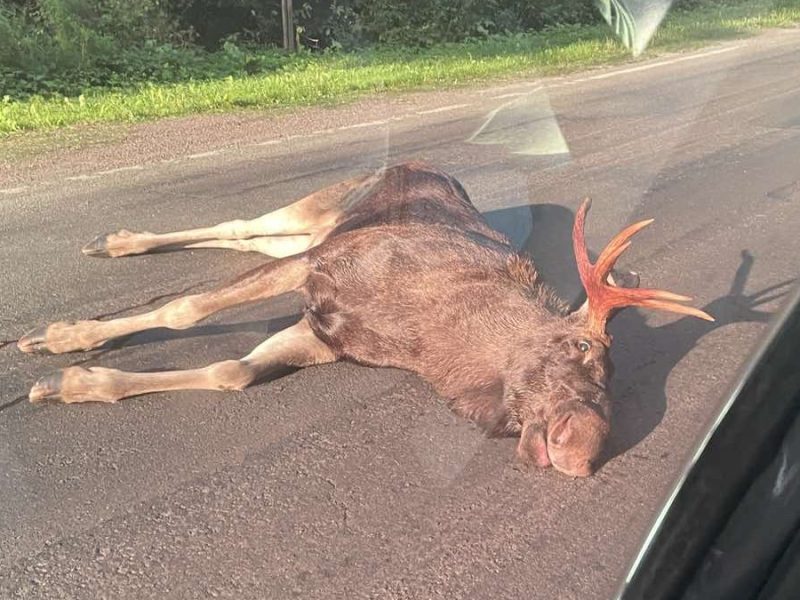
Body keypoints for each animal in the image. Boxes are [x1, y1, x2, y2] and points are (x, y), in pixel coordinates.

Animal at [17, 162, 712, 476]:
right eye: (583, 351)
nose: (584, 451)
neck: (431, 342)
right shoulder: (320, 267)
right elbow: (186, 309)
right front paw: (62, 339)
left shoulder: (322, 333)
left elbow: (229, 372)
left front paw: (73, 384)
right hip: (323, 211)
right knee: (245, 223)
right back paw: (115, 243)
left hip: (316, 226)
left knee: (249, 237)